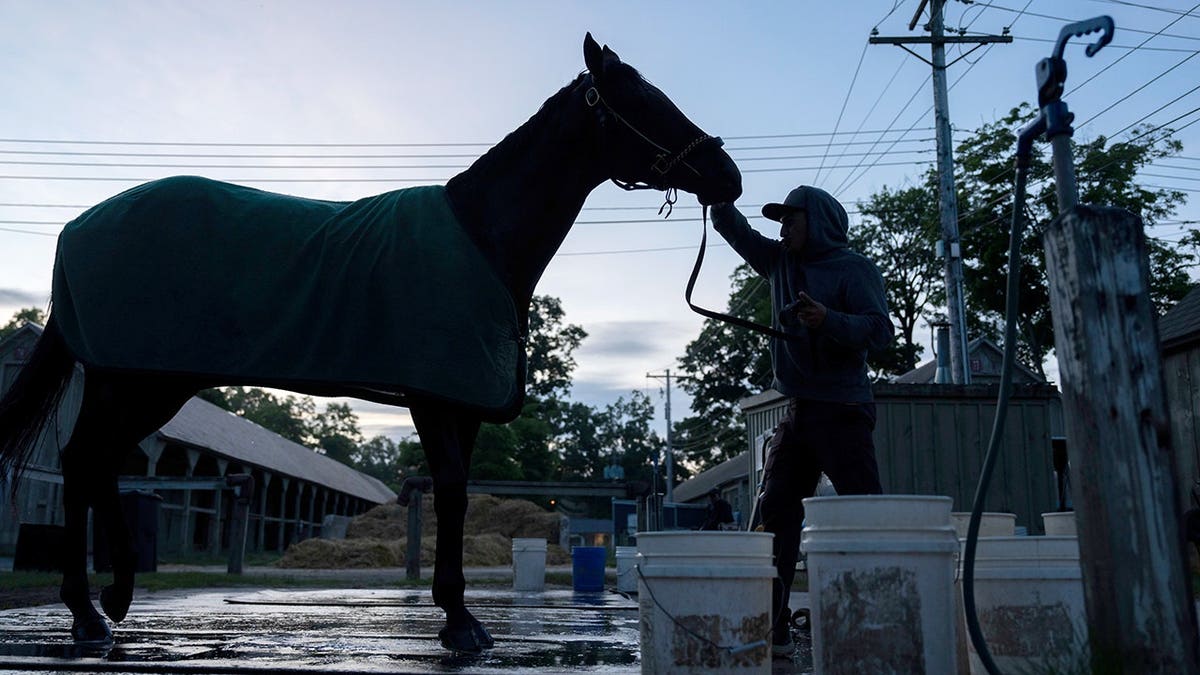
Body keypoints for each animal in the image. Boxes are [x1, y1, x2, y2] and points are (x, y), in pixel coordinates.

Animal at [0, 33, 741, 653]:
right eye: (641, 101)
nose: (727, 175)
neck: (482, 236)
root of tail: (80, 227)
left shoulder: (461, 404)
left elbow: (455, 494)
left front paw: (458, 615)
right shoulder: (435, 399)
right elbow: (451, 494)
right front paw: (460, 622)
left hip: (142, 380)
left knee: (94, 462)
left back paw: (112, 600)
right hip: (137, 379)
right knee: (85, 461)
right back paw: (89, 614)